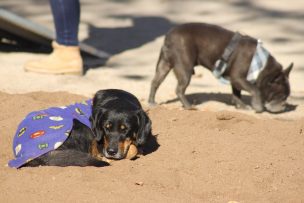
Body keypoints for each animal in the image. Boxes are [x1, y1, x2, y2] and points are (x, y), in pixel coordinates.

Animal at [148, 23, 294, 114]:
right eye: (281, 95)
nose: (283, 106)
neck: (261, 65)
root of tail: (168, 36)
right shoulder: (239, 78)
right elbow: (255, 90)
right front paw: (258, 107)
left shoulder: (235, 80)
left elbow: (236, 93)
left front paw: (241, 106)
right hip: (185, 69)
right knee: (179, 89)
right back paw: (189, 106)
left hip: (164, 65)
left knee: (155, 82)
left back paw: (151, 102)